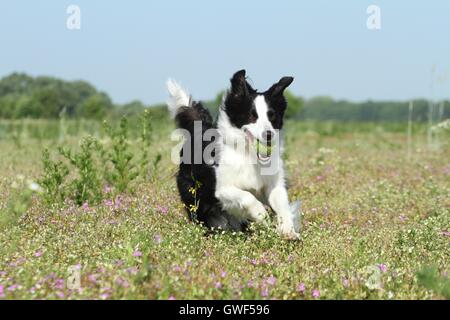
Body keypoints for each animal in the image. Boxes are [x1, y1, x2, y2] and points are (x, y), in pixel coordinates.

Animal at [167, 70, 300, 240]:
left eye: (272, 115)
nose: (268, 135)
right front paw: (262, 215)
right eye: (252, 116)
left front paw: (288, 231)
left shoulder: (274, 184)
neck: (248, 155)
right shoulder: (222, 189)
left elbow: (282, 204)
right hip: (196, 197)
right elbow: (247, 197)